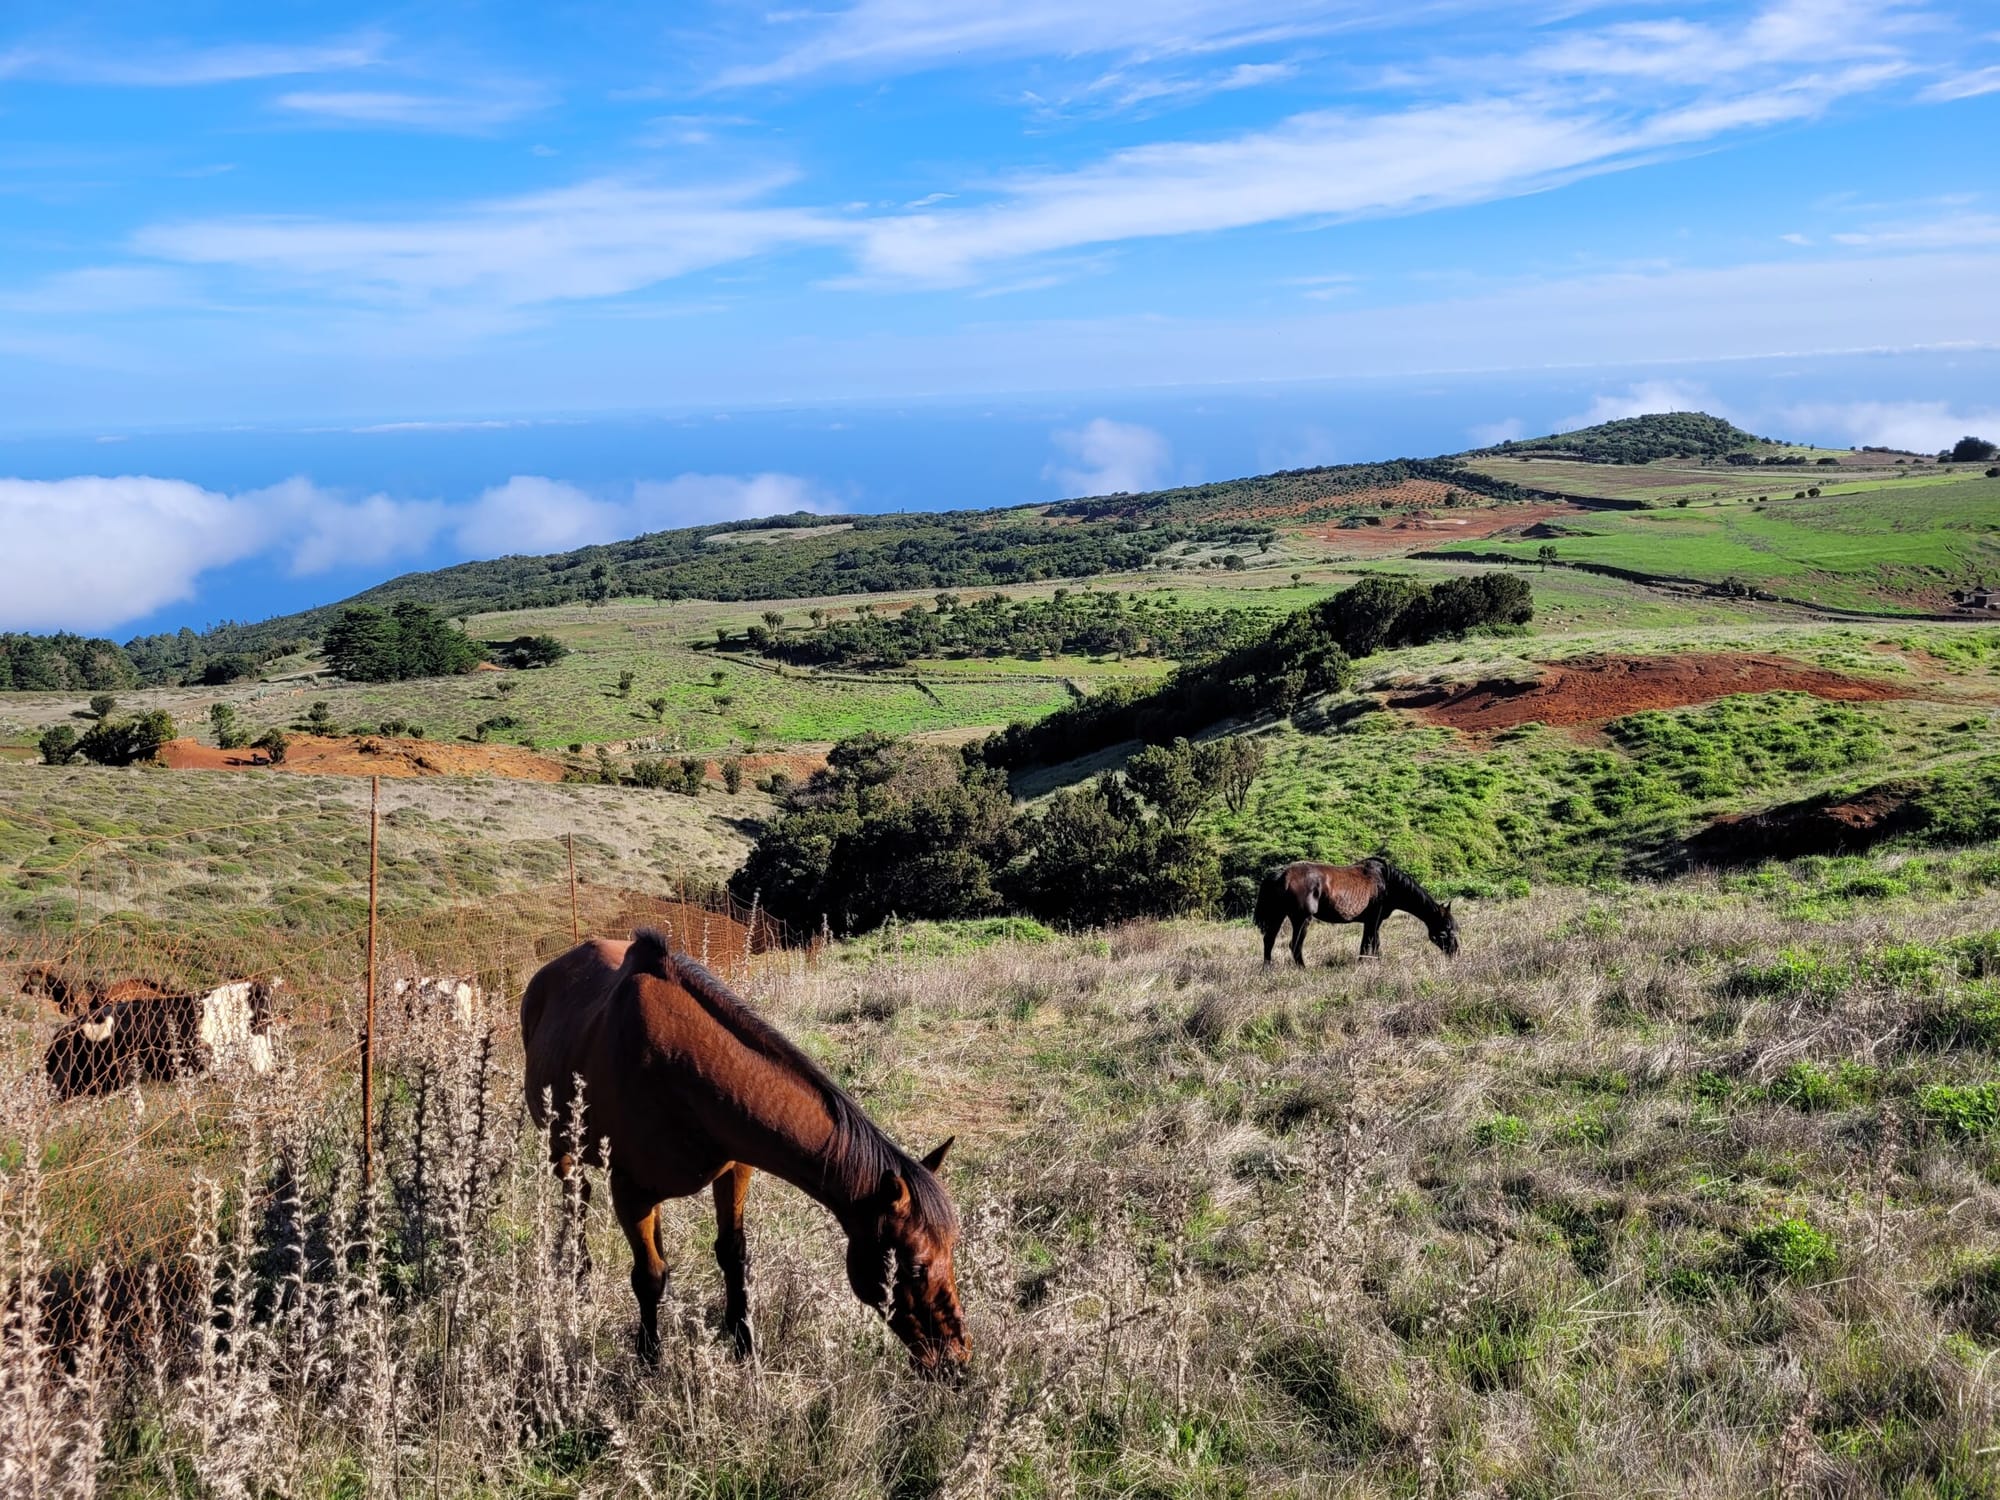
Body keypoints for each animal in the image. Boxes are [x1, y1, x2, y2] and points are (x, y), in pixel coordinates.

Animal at [520, 936, 964, 1384]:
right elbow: (647, 1277)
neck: (677, 1070)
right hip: (563, 1150)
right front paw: (649, 1360)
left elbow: (733, 1254)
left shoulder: (735, 1169)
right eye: (914, 1269)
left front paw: (743, 1343)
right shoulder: (630, 1192)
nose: (956, 1362)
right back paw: (579, 1275)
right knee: (577, 1194)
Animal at [1256, 856, 1464, 964]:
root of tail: (1280, 874)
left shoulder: (1372, 921)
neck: (1387, 882)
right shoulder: (1374, 919)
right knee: (1295, 946)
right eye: (1445, 932)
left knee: (1269, 941)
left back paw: (1267, 969)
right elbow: (1370, 943)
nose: (1455, 953)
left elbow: (1371, 943)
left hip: (1278, 915)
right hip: (1301, 919)